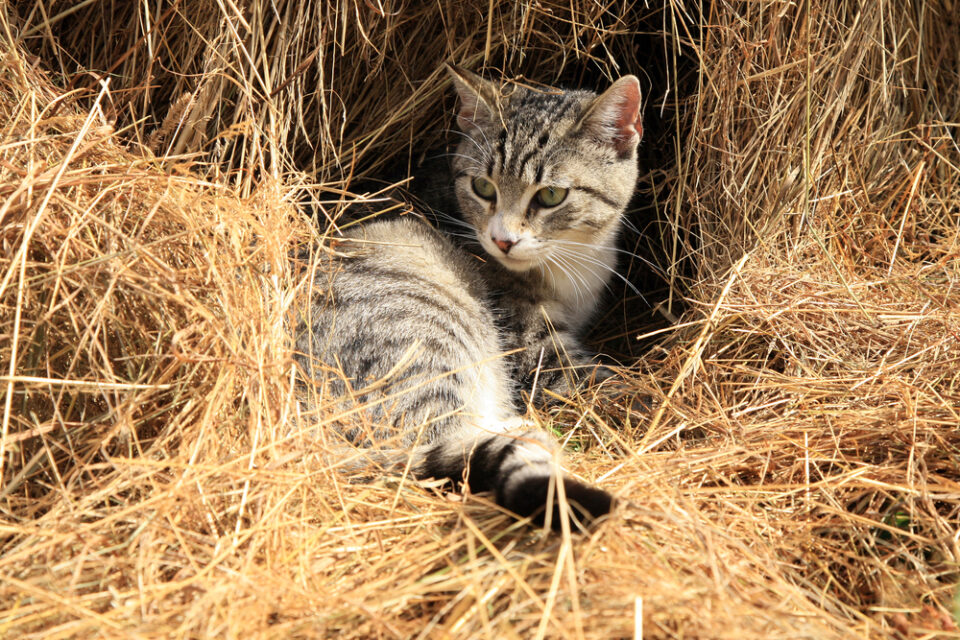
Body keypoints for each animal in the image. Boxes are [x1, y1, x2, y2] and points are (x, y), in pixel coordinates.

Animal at [298, 65, 644, 528]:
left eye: (551, 195)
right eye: (482, 186)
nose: (502, 241)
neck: (573, 257)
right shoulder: (542, 357)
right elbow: (614, 388)